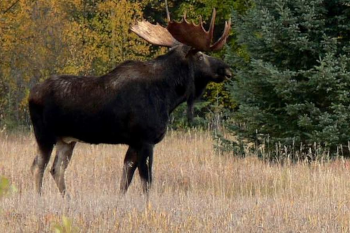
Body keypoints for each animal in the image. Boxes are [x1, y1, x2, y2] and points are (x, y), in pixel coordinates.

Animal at [28, 8, 231, 195]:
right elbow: (146, 182)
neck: (168, 97)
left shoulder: (134, 142)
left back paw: (67, 198)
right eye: (201, 56)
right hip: (44, 135)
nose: (226, 69)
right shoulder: (145, 139)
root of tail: (31, 94)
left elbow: (125, 180)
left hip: (67, 139)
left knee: (56, 169)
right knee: (38, 167)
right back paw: (39, 198)